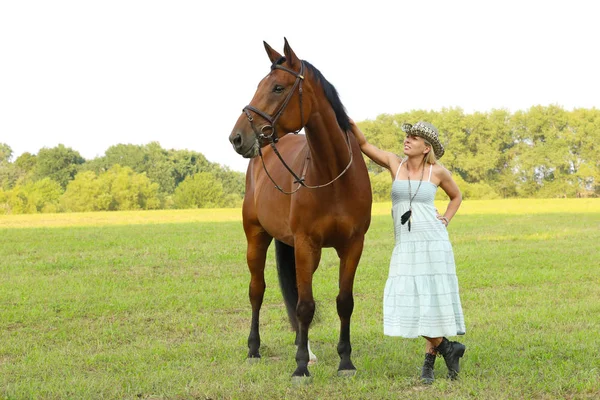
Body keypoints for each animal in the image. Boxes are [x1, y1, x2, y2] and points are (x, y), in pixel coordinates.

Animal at [229, 38, 372, 382]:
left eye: (278, 87)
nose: (237, 138)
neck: (334, 175)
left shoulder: (353, 246)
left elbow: (343, 302)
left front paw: (345, 362)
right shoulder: (307, 245)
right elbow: (305, 306)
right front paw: (300, 367)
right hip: (256, 238)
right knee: (258, 291)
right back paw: (255, 349)